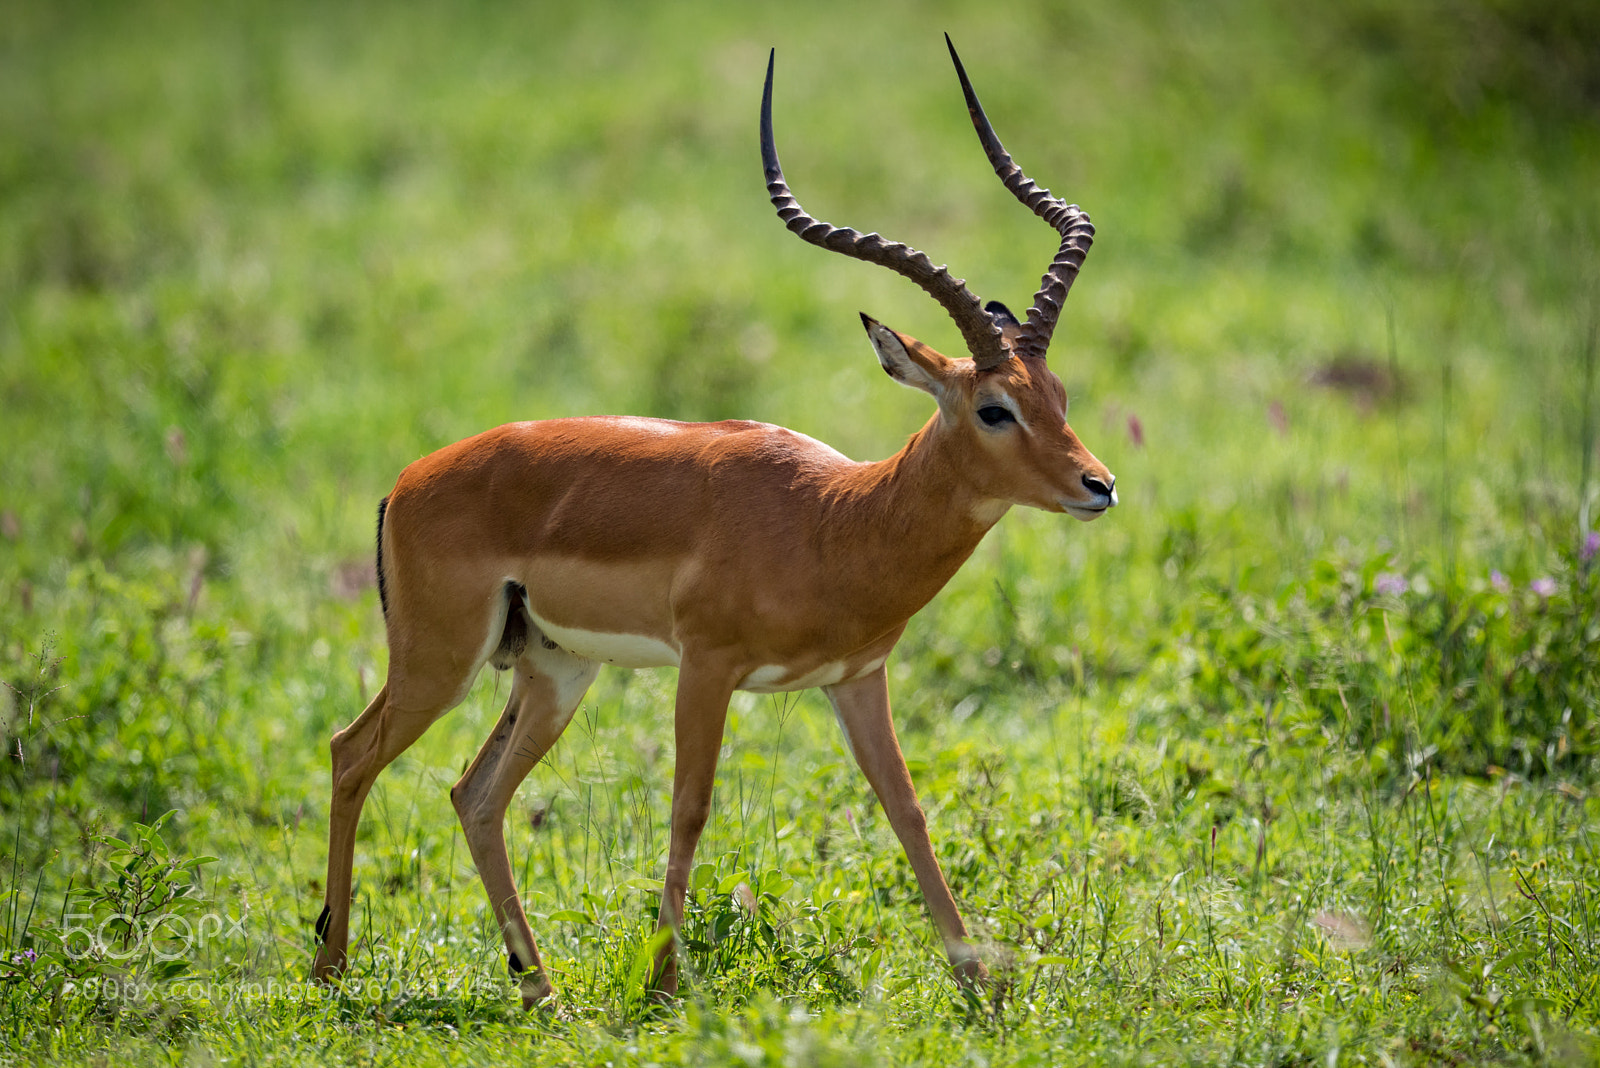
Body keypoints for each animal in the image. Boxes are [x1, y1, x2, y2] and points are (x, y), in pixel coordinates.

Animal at [312, 37, 1116, 1008]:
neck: (836, 521)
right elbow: (690, 808)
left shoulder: (858, 676)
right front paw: (663, 985)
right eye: (996, 408)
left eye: (1059, 393)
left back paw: (539, 986)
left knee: (475, 794)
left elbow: (907, 808)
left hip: (552, 670)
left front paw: (976, 983)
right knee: (351, 752)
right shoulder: (706, 666)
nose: (1098, 485)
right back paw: (330, 965)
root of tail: (407, 481)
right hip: (441, 660)